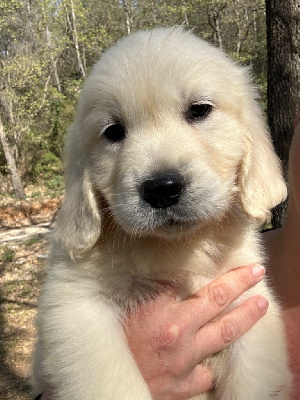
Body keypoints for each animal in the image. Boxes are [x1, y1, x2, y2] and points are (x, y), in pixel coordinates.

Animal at [32, 28, 290, 400]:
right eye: (113, 131)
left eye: (199, 110)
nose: (161, 188)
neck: (177, 248)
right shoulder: (75, 304)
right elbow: (114, 383)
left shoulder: (251, 307)